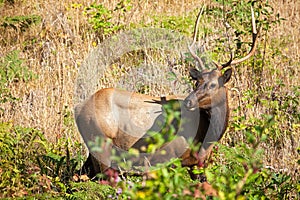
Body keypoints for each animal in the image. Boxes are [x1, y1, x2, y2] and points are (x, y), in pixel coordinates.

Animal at [74, 7, 258, 180]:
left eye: (213, 84)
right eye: (197, 81)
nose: (188, 101)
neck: (207, 139)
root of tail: (78, 109)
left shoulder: (198, 164)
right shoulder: (165, 159)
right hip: (101, 143)